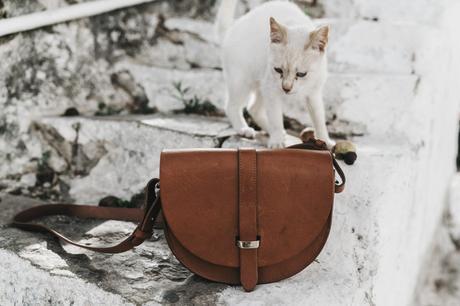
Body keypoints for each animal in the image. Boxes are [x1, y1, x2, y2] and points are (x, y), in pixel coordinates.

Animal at [217, 0, 334, 148]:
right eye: (278, 70)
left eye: (301, 74)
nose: (286, 88)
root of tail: (230, 30)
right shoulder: (271, 91)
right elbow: (276, 118)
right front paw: (277, 141)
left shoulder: (314, 93)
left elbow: (319, 119)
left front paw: (325, 140)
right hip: (243, 83)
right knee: (231, 106)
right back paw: (243, 129)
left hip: (261, 86)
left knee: (253, 108)